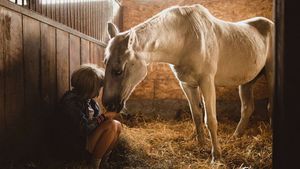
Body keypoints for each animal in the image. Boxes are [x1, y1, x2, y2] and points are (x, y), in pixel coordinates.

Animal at [101, 4, 274, 161]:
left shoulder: (207, 82)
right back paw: (236, 136)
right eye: (105, 63)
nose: (109, 105)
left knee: (269, 107)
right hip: (247, 81)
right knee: (247, 108)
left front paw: (216, 156)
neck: (186, 39)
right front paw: (202, 145)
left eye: (118, 71)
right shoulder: (187, 84)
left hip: (270, 74)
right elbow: (196, 115)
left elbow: (210, 120)